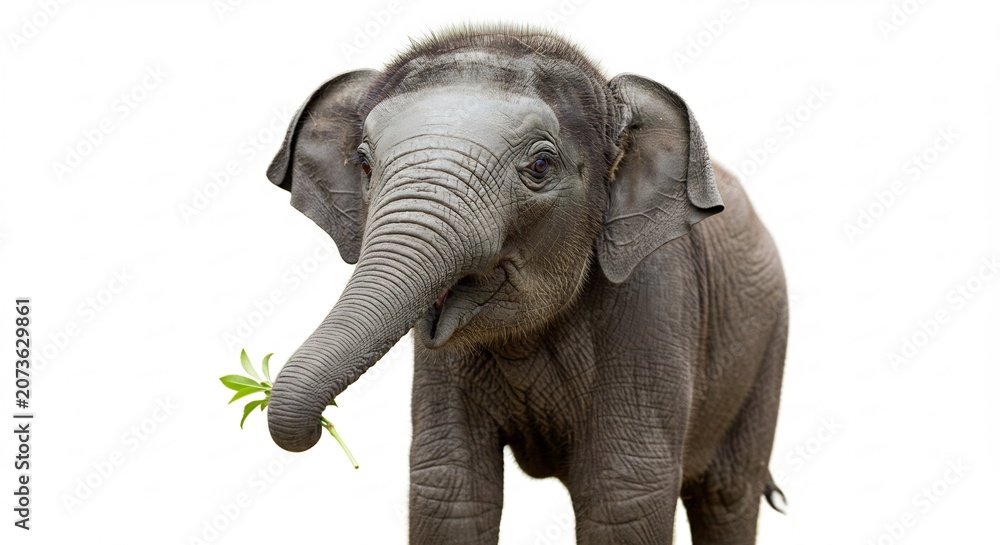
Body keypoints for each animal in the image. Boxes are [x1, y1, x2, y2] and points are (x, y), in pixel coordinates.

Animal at [264, 26, 788, 545]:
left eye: (540, 165)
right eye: (365, 164)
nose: (324, 424)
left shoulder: (655, 298)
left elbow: (622, 495)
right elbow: (449, 491)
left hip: (766, 347)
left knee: (726, 495)